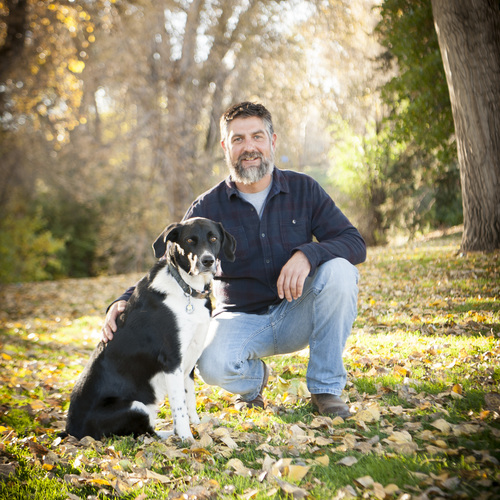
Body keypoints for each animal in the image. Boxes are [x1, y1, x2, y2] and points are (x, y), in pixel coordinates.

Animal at [66, 217, 236, 440]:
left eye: (213, 238)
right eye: (190, 240)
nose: (207, 261)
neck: (186, 289)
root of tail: (70, 430)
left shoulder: (190, 359)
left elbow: (190, 400)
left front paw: (198, 426)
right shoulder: (172, 361)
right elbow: (179, 407)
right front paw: (188, 439)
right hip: (135, 406)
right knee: (146, 432)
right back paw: (170, 434)